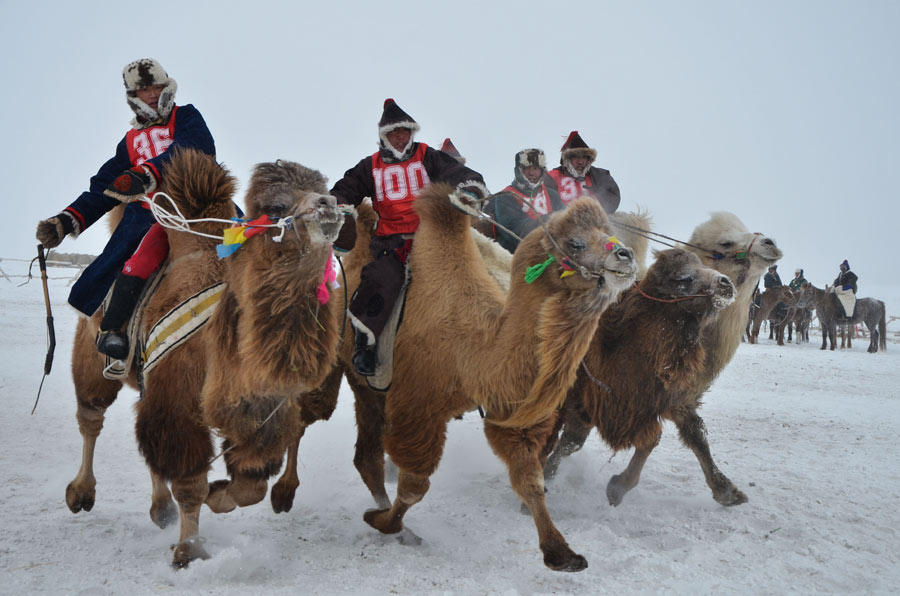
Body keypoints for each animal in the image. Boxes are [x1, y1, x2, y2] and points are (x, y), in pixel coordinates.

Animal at [61, 149, 344, 568]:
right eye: (275, 207)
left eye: (323, 189)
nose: (328, 205)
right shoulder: (179, 398)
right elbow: (189, 480)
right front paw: (189, 548)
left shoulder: (257, 407)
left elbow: (252, 484)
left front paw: (219, 495)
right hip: (92, 355)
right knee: (91, 417)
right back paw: (81, 493)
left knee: (144, 435)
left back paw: (160, 509)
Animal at [540, 212, 780, 506]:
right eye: (725, 242)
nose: (770, 243)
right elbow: (572, 436)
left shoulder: (676, 396)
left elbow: (695, 435)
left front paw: (726, 491)